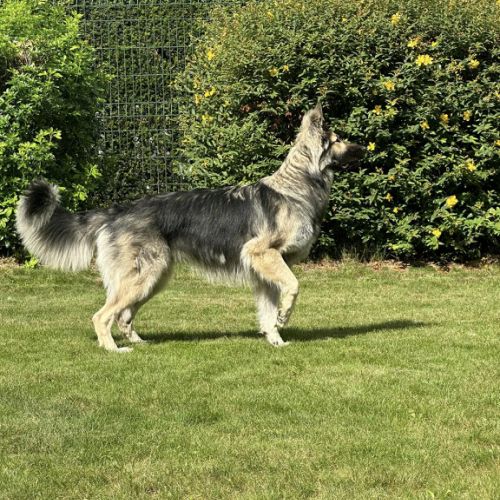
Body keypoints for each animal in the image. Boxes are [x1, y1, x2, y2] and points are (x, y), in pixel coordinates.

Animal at [16, 104, 365, 352]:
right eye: (338, 140)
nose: (364, 149)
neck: (298, 185)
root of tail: (117, 211)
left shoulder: (264, 271)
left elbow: (267, 312)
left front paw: (275, 340)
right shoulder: (263, 254)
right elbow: (293, 287)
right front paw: (284, 317)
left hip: (154, 278)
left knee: (123, 315)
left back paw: (138, 342)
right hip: (145, 275)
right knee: (103, 316)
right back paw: (114, 349)